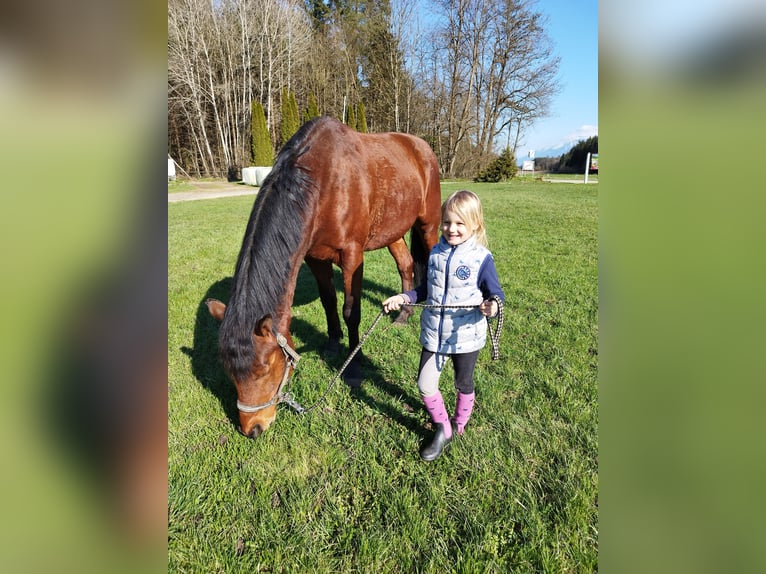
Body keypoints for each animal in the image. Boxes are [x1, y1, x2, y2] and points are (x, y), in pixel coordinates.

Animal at [207, 118, 440, 440]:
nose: (253, 428)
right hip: (392, 231)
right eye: (230, 372)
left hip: (429, 223)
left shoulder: (352, 256)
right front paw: (332, 342)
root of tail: (421, 147)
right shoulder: (314, 257)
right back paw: (403, 315)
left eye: (265, 368)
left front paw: (353, 365)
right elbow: (329, 301)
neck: (323, 182)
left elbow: (351, 310)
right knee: (406, 266)